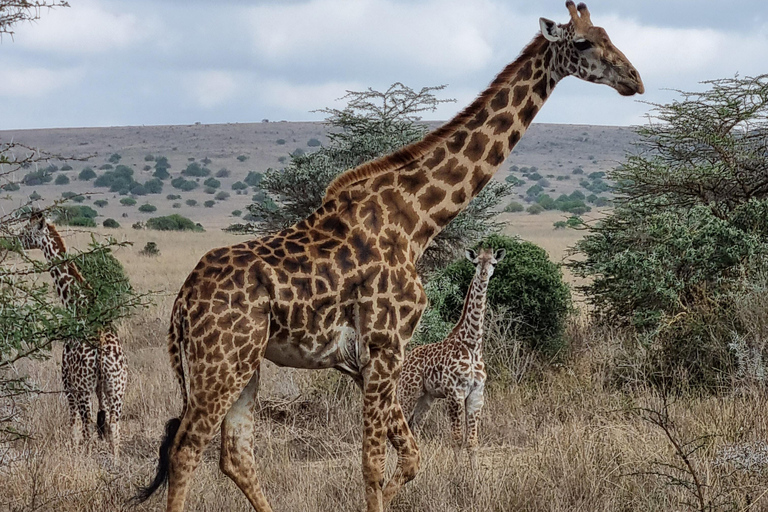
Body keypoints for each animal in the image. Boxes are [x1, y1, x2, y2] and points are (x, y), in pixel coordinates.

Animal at [136, 2, 640, 510]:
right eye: (583, 43)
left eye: (609, 34)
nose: (634, 80)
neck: (417, 220)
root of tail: (182, 301)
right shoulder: (384, 345)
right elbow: (374, 463)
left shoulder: (370, 359)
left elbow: (411, 457)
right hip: (221, 361)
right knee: (186, 449)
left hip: (244, 364)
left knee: (235, 453)